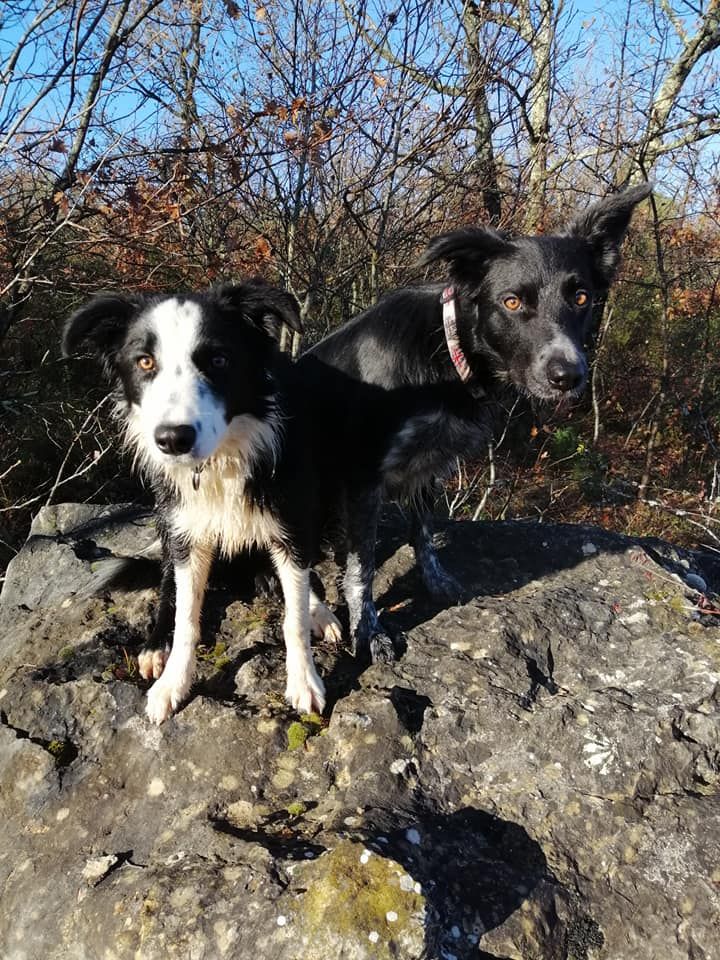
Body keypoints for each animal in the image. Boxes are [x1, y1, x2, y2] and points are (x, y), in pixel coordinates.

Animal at [64, 282, 340, 724]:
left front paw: (304, 681)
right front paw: (173, 683)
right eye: (145, 362)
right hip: (166, 521)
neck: (221, 461)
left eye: (219, 359)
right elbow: (185, 616)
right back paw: (155, 646)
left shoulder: (294, 521)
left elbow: (293, 617)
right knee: (166, 587)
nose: (173, 439)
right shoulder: (186, 535)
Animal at [298, 184, 652, 664]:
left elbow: (423, 533)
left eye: (581, 298)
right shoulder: (363, 480)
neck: (449, 353)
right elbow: (361, 571)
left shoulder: (426, 469)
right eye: (512, 301)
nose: (567, 375)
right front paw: (368, 631)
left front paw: (436, 581)